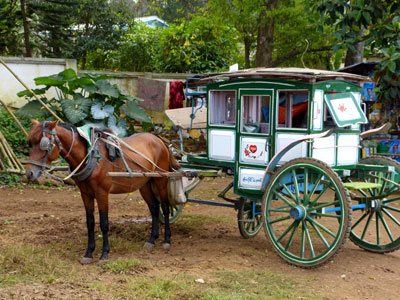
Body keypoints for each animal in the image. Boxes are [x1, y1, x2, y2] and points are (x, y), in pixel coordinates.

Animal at [25, 120, 180, 264]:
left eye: (44, 144)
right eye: (30, 143)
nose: (29, 173)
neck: (90, 156)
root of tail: (158, 139)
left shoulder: (102, 193)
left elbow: (104, 223)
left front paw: (104, 254)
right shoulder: (85, 193)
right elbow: (90, 223)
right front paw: (88, 253)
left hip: (161, 180)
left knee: (165, 208)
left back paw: (167, 240)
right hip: (145, 184)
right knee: (154, 208)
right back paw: (152, 239)